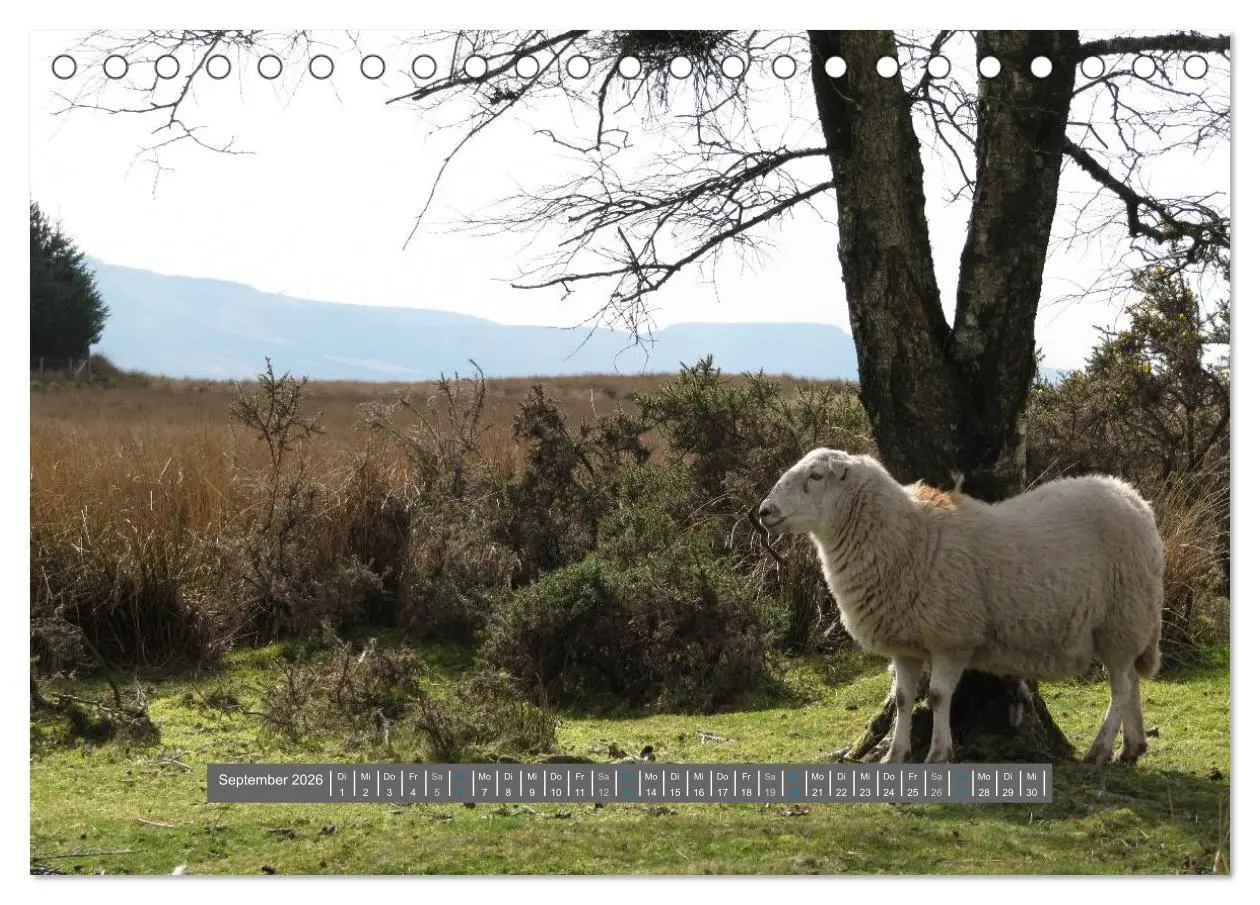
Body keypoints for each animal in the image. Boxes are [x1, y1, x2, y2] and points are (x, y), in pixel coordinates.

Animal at [757, 448, 1164, 766]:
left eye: (816, 475)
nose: (764, 511)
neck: (908, 535)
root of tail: (1134, 499)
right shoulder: (906, 644)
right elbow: (902, 699)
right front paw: (894, 754)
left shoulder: (951, 637)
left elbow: (938, 697)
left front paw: (939, 752)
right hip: (1124, 626)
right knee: (1132, 681)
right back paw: (1132, 747)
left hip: (1121, 619)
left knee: (1121, 688)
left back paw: (1100, 749)